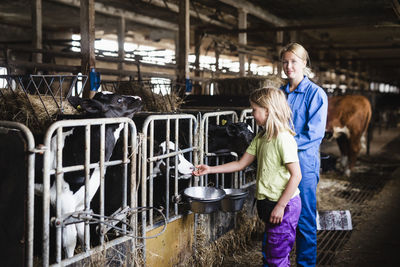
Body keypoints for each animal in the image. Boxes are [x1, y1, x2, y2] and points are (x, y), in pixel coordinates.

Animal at [34, 92, 142, 260]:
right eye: (118, 100)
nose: (139, 98)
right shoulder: (64, 204)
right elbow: (69, 240)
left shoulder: (81, 203)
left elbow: (83, 233)